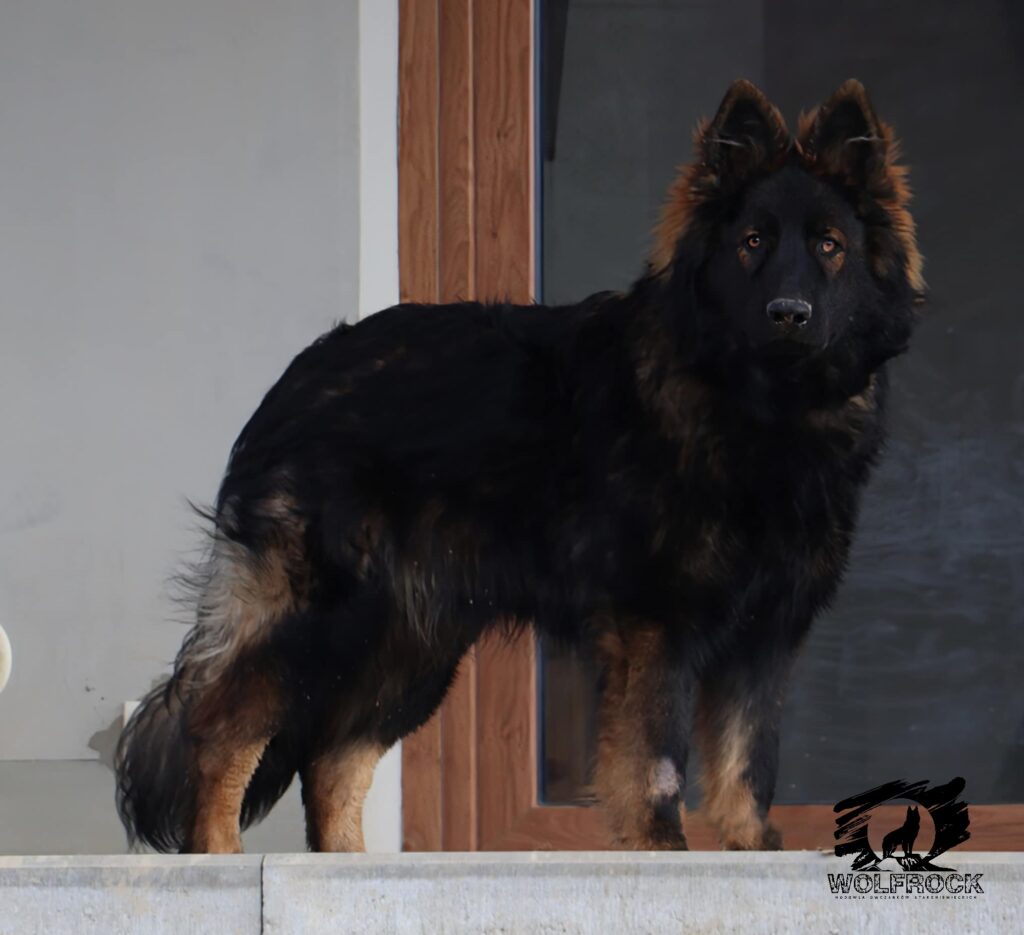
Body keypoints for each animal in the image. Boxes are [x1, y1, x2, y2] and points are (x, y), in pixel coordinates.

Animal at [116, 79, 924, 853]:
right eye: (753, 242)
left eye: (829, 247)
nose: (789, 314)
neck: (760, 408)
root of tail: (298, 375)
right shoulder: (654, 625)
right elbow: (658, 761)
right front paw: (660, 848)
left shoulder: (765, 637)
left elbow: (749, 763)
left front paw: (751, 849)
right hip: (319, 618)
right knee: (218, 730)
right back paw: (217, 854)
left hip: (410, 648)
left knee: (333, 760)